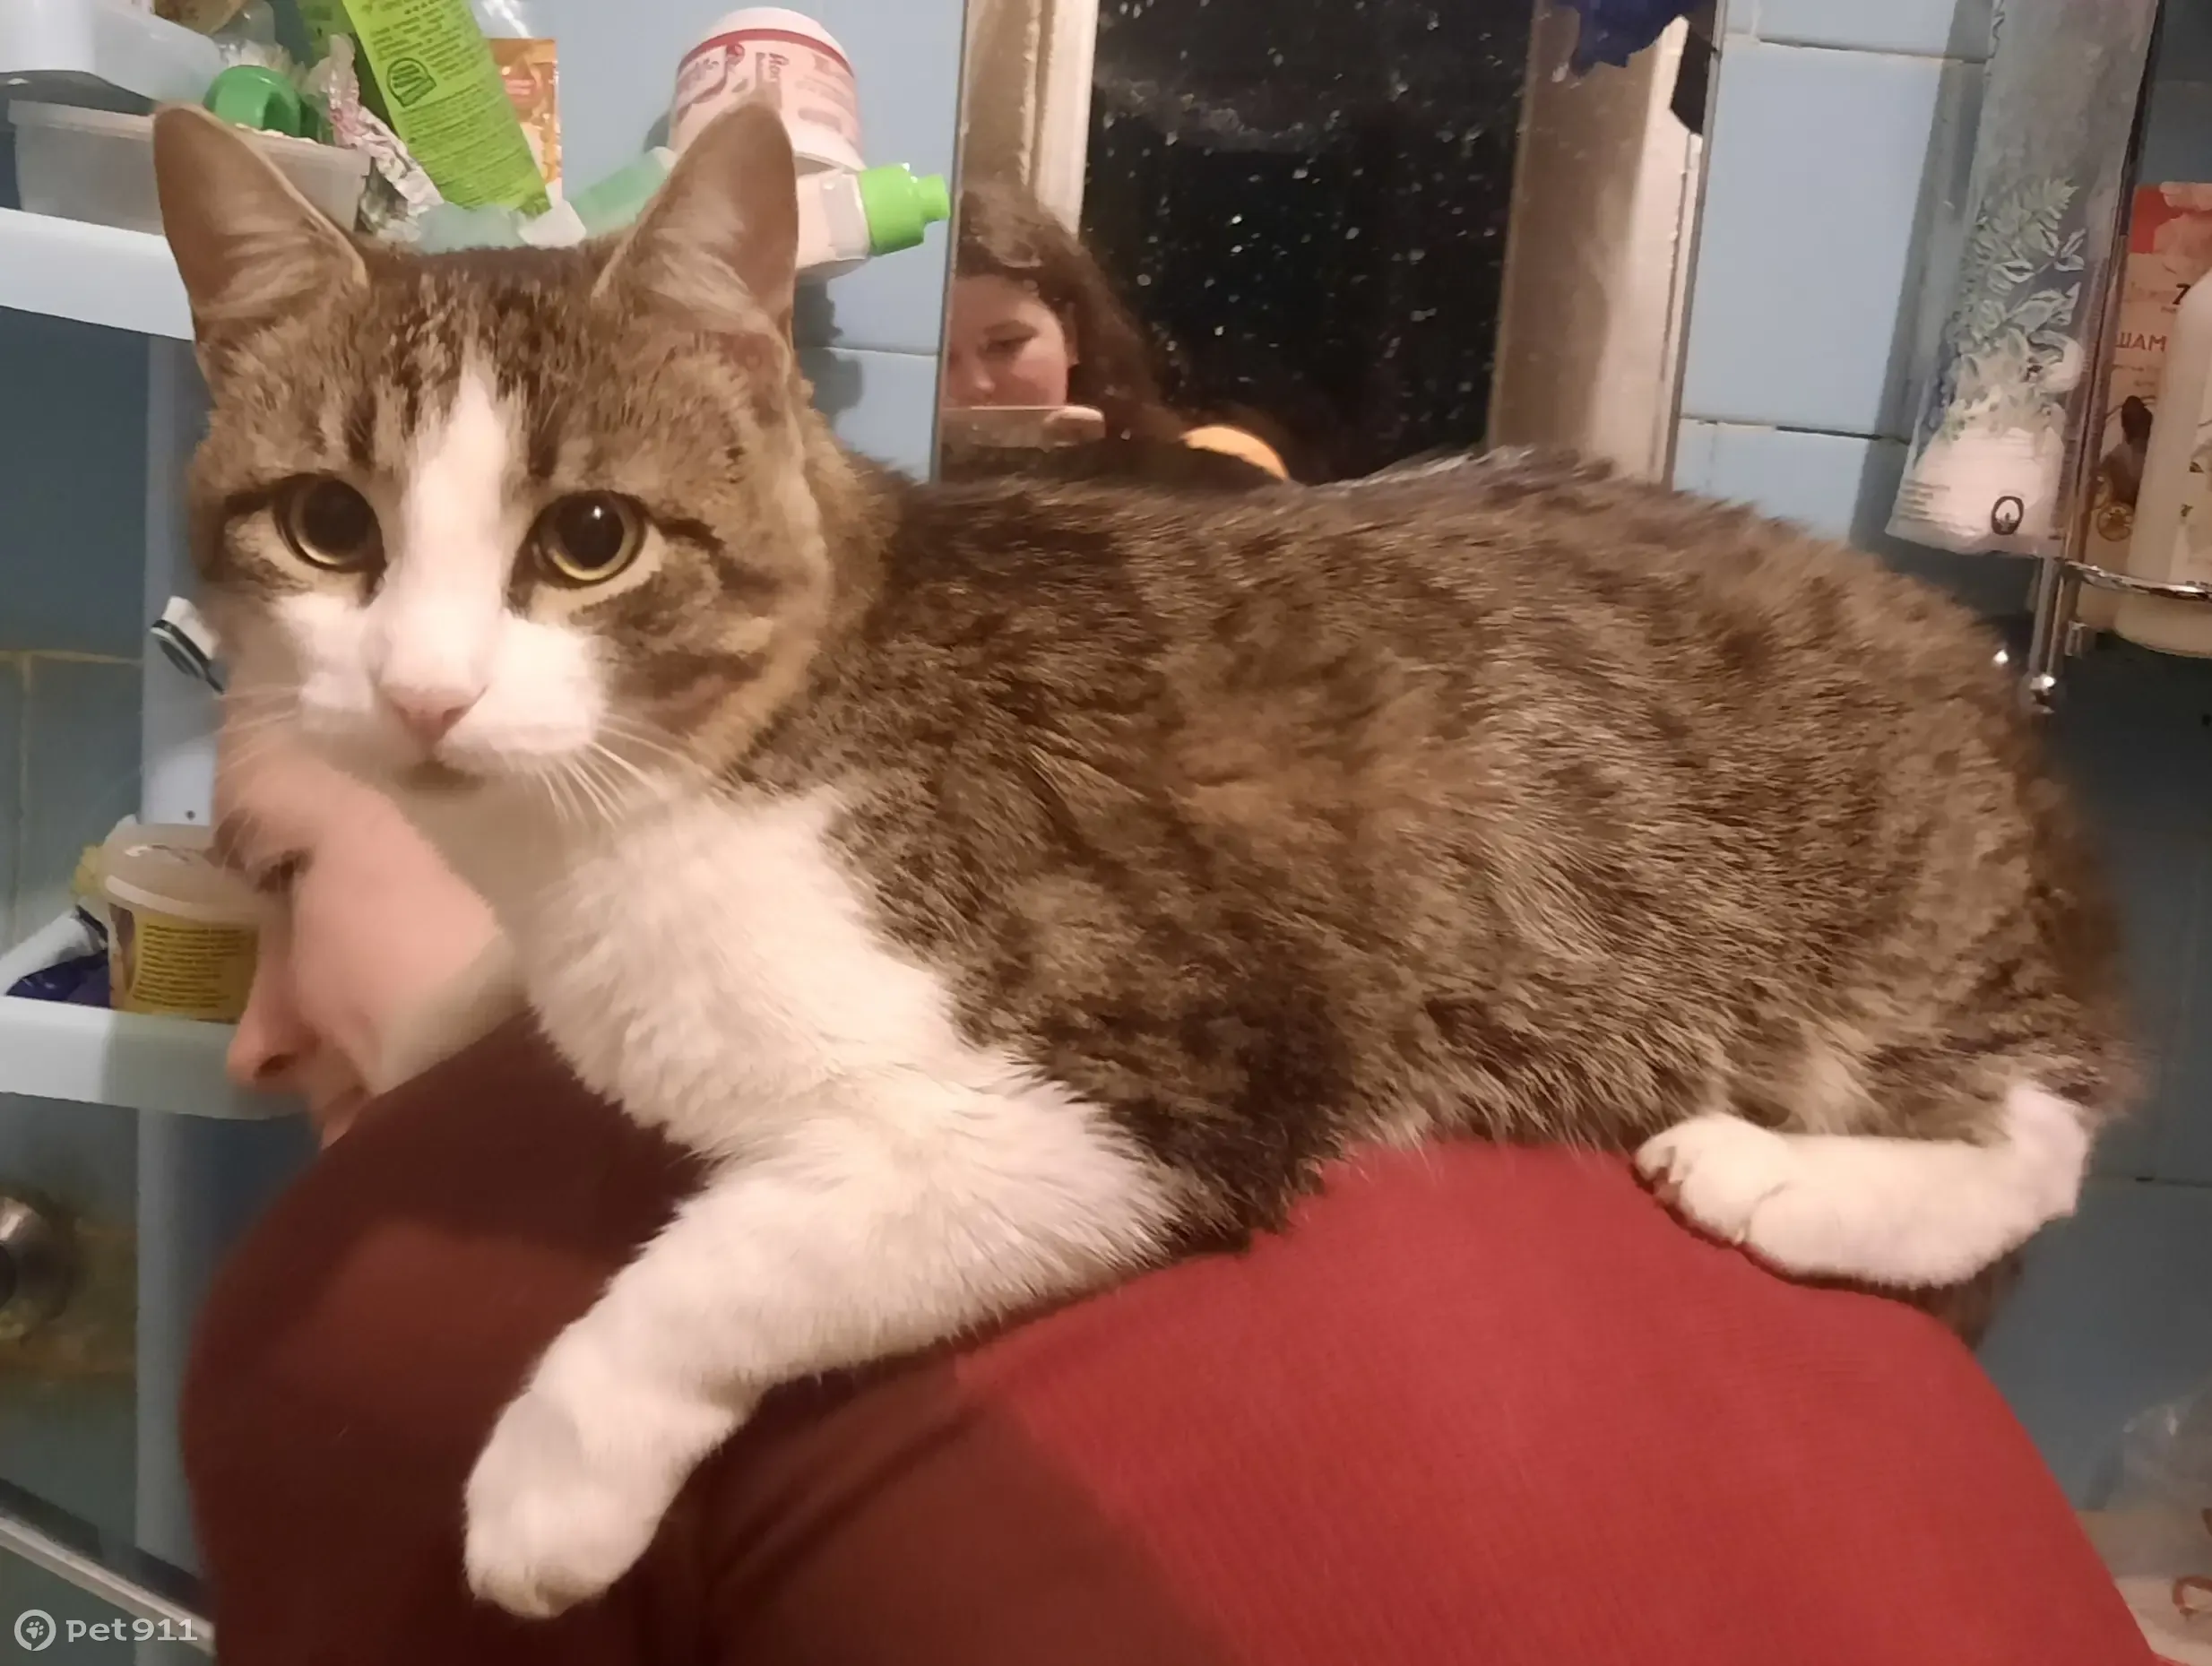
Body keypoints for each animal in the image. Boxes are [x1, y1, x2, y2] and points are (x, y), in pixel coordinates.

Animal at [152, 101, 2131, 1620]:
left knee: (2038, 1126)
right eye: (327, 524)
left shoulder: (1143, 1083)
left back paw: (1786, 1173)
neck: (646, 810)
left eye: (588, 540)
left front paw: (548, 1479)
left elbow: (746, 1249)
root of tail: (1978, 673)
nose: (424, 690)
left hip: (1873, 926)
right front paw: (451, 1011)